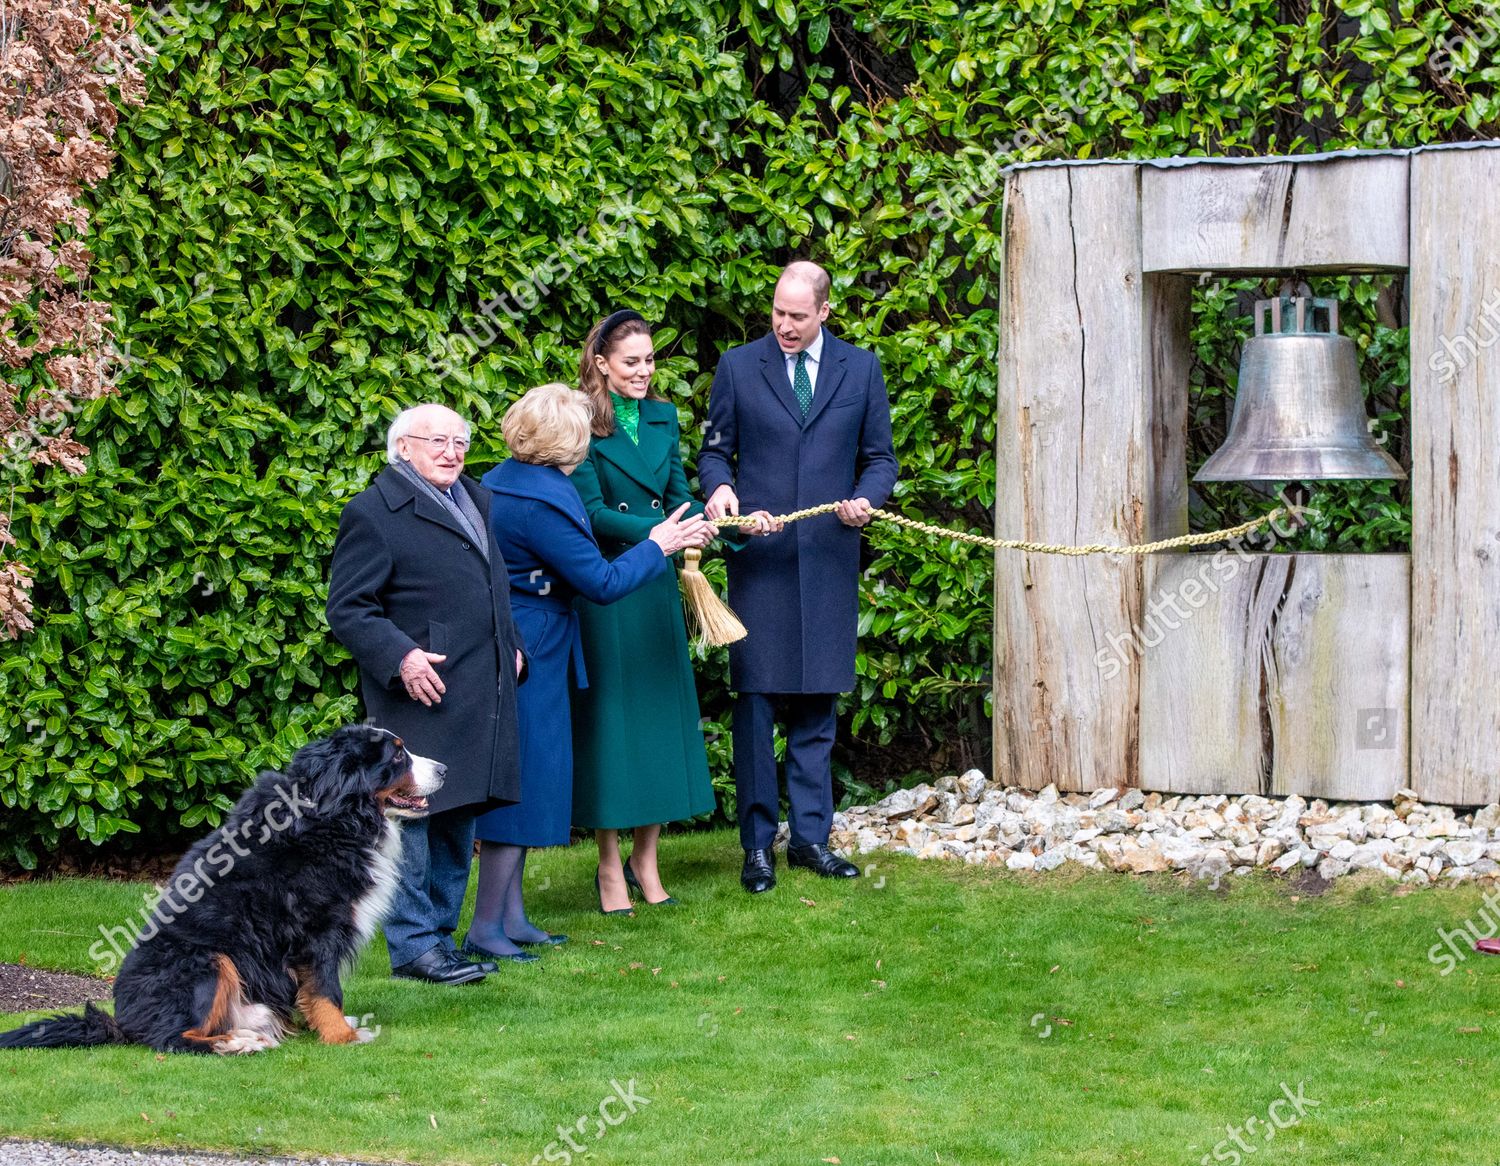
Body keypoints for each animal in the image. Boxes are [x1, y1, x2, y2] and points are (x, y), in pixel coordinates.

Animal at [0, 723, 441, 1050]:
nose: (444, 769)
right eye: (397, 755)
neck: (334, 814)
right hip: (208, 961)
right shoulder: (318, 930)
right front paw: (342, 1035)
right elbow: (325, 988)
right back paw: (237, 1044)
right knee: (175, 1038)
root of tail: (125, 1022)